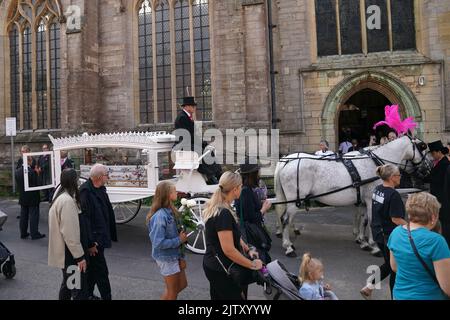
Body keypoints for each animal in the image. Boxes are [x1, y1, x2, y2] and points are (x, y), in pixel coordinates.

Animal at [274, 136, 428, 258]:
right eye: (422, 147)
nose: (427, 169)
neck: (375, 163)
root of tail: (286, 161)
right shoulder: (371, 199)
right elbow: (371, 221)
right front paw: (374, 246)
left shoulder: (364, 200)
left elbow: (364, 220)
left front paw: (363, 241)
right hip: (294, 200)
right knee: (285, 219)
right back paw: (288, 247)